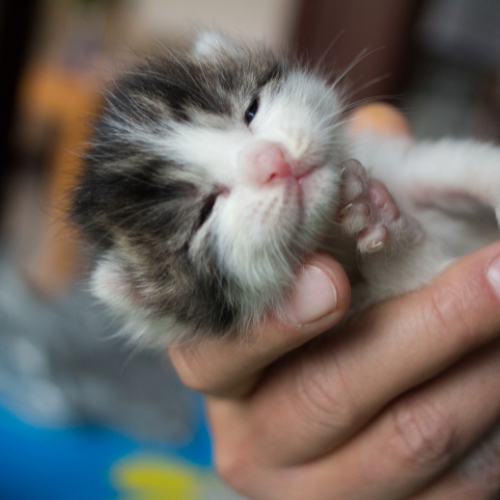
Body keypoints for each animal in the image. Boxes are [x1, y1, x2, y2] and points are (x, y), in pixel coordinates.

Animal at [71, 33, 500, 348]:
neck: (333, 234)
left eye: (251, 110)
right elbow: (413, 277)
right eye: (204, 213)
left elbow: (453, 163)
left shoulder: (391, 160)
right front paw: (388, 233)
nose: (271, 160)